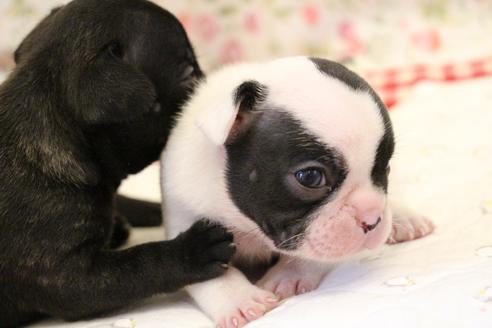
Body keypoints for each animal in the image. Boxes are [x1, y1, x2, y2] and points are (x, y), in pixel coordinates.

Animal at [161, 57, 434, 328]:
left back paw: (405, 219)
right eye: (310, 177)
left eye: (385, 168)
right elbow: (207, 272)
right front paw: (238, 299)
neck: (248, 225)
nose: (373, 218)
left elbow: (315, 251)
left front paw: (288, 274)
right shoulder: (186, 215)